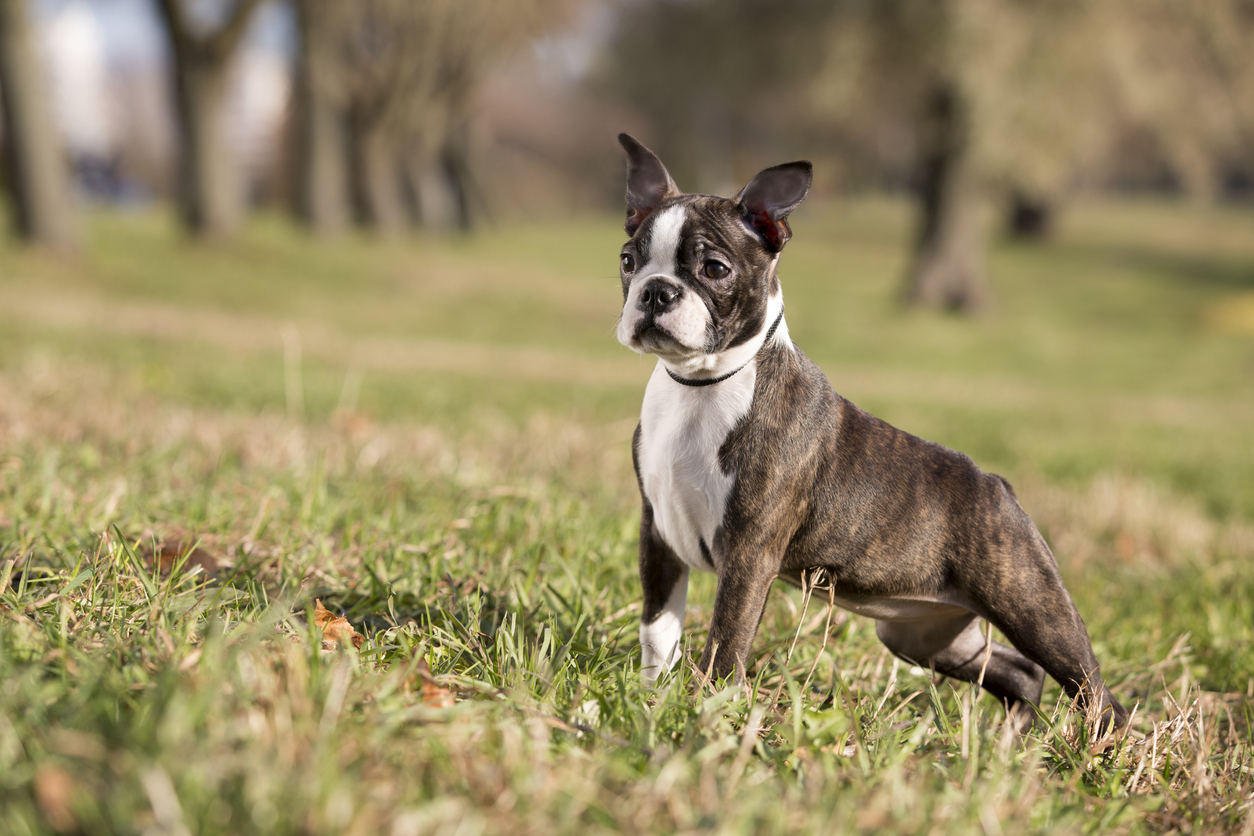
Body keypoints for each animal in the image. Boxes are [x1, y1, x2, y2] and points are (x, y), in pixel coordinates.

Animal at [614, 134, 1128, 726]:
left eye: (715, 269)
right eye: (628, 262)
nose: (656, 291)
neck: (699, 387)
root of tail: (999, 487)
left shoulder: (747, 556)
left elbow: (725, 642)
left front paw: (706, 711)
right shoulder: (659, 534)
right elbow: (658, 632)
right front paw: (651, 700)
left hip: (1033, 609)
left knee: (1095, 693)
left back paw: (1095, 745)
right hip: (923, 634)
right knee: (1017, 671)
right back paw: (1010, 740)